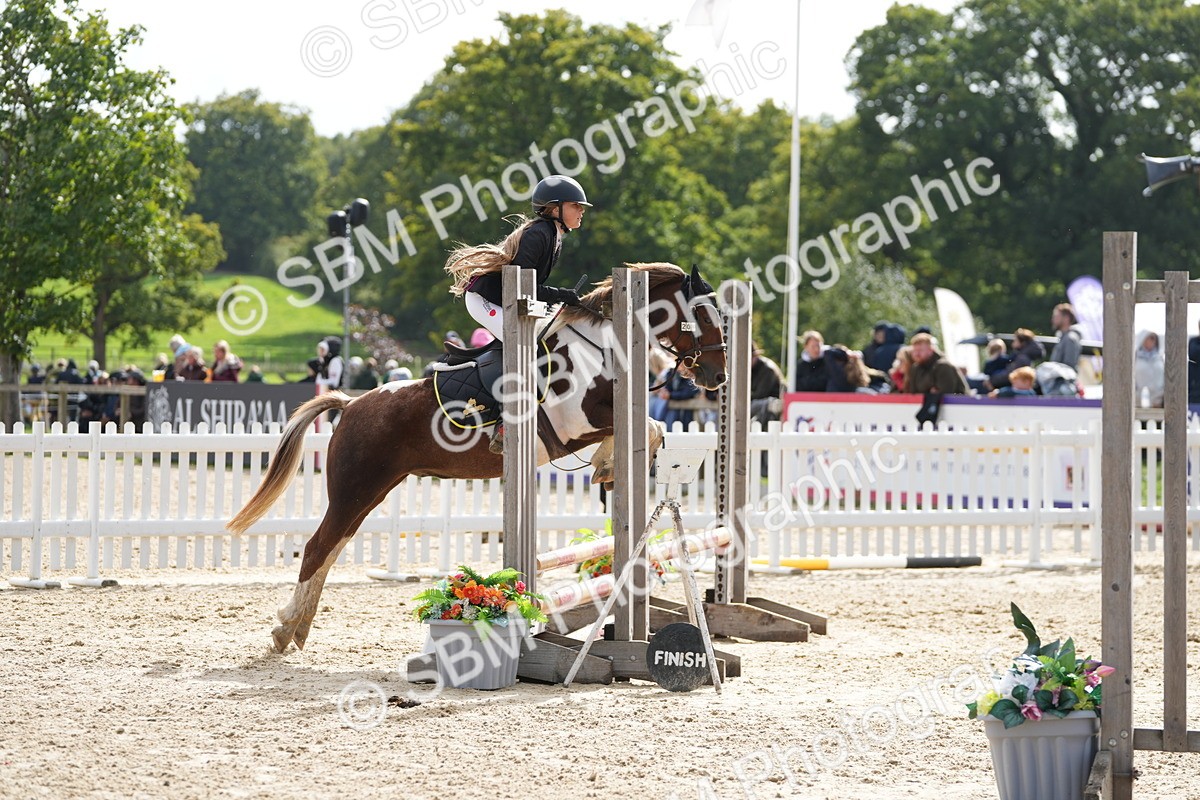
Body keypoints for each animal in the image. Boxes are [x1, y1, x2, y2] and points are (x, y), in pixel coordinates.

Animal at [227, 262, 728, 653]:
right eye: (703, 314)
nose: (717, 376)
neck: (600, 349)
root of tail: (351, 405)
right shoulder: (576, 420)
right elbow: (648, 426)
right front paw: (606, 465)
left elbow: (651, 427)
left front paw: (606, 467)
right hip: (355, 488)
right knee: (318, 548)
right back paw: (283, 632)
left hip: (367, 492)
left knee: (331, 549)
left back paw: (296, 628)